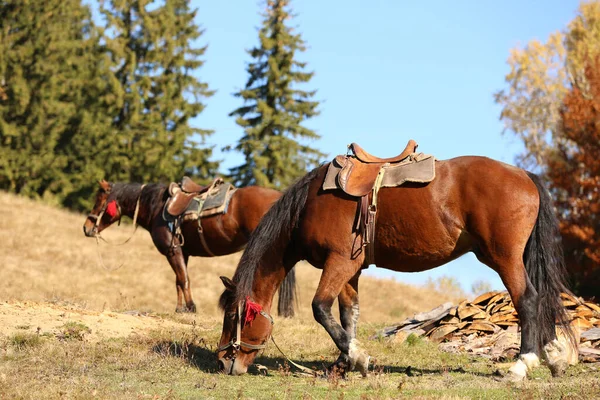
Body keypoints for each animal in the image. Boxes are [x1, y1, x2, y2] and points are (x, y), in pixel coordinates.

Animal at [82, 177, 298, 318]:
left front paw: (191, 307)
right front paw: (180, 308)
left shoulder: (173, 251)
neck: (157, 207)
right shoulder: (181, 253)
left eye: (100, 200)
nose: (86, 227)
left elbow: (184, 279)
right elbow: (179, 280)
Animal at [218, 141, 576, 382]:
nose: (224, 362)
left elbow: (320, 309)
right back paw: (553, 357)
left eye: (234, 316)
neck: (309, 204)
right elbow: (348, 316)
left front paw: (358, 357)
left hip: (505, 258)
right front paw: (344, 363)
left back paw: (521, 365)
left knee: (527, 300)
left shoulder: (338, 263)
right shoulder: (349, 269)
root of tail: (525, 175)